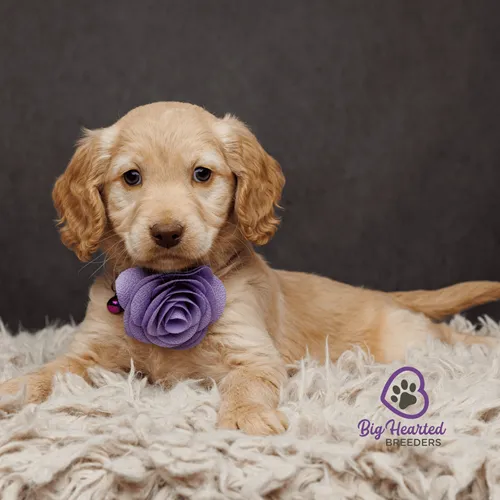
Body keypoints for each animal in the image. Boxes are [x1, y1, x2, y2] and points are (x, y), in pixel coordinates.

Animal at [0, 103, 500, 436]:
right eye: (131, 178)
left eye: (202, 174)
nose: (166, 232)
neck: (168, 287)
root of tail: (377, 294)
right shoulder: (89, 356)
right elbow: (49, 372)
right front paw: (14, 388)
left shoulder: (253, 354)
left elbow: (245, 384)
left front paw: (245, 417)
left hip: (407, 340)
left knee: (450, 338)